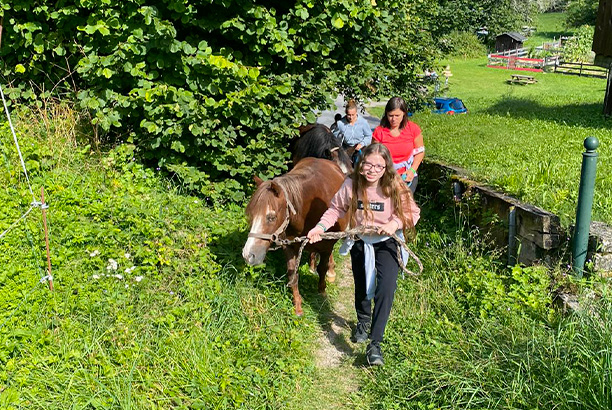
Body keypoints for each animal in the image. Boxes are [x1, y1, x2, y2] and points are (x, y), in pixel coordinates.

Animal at [244, 159, 350, 316]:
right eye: (251, 215)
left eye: (271, 217)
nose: (248, 255)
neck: (308, 210)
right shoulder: (289, 245)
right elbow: (292, 275)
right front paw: (298, 306)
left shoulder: (327, 245)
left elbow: (323, 268)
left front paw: (322, 291)